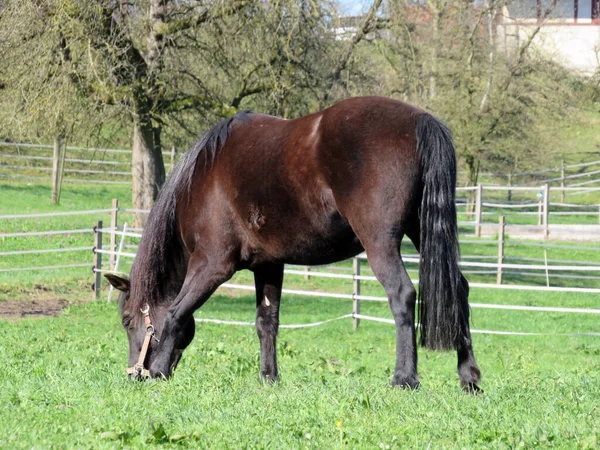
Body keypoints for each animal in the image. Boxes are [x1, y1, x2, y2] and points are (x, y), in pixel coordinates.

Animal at [106, 96, 482, 392]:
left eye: (126, 320)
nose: (134, 374)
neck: (202, 178)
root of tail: (420, 120)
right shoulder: (268, 265)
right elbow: (266, 321)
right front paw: (268, 377)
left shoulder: (211, 265)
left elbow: (176, 312)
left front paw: (157, 371)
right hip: (421, 231)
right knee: (459, 290)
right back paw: (469, 377)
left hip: (380, 241)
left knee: (402, 294)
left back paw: (404, 378)